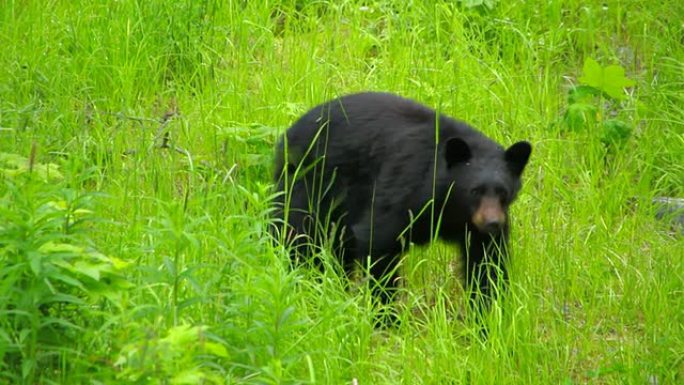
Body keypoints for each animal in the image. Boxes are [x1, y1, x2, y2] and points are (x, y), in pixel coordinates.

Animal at [270, 92, 532, 312]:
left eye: (503, 192)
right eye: (475, 190)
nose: (492, 223)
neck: (450, 205)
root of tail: (287, 136)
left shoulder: (476, 229)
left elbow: (487, 265)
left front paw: (486, 319)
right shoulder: (405, 187)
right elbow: (378, 240)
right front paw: (386, 317)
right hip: (312, 181)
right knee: (297, 233)